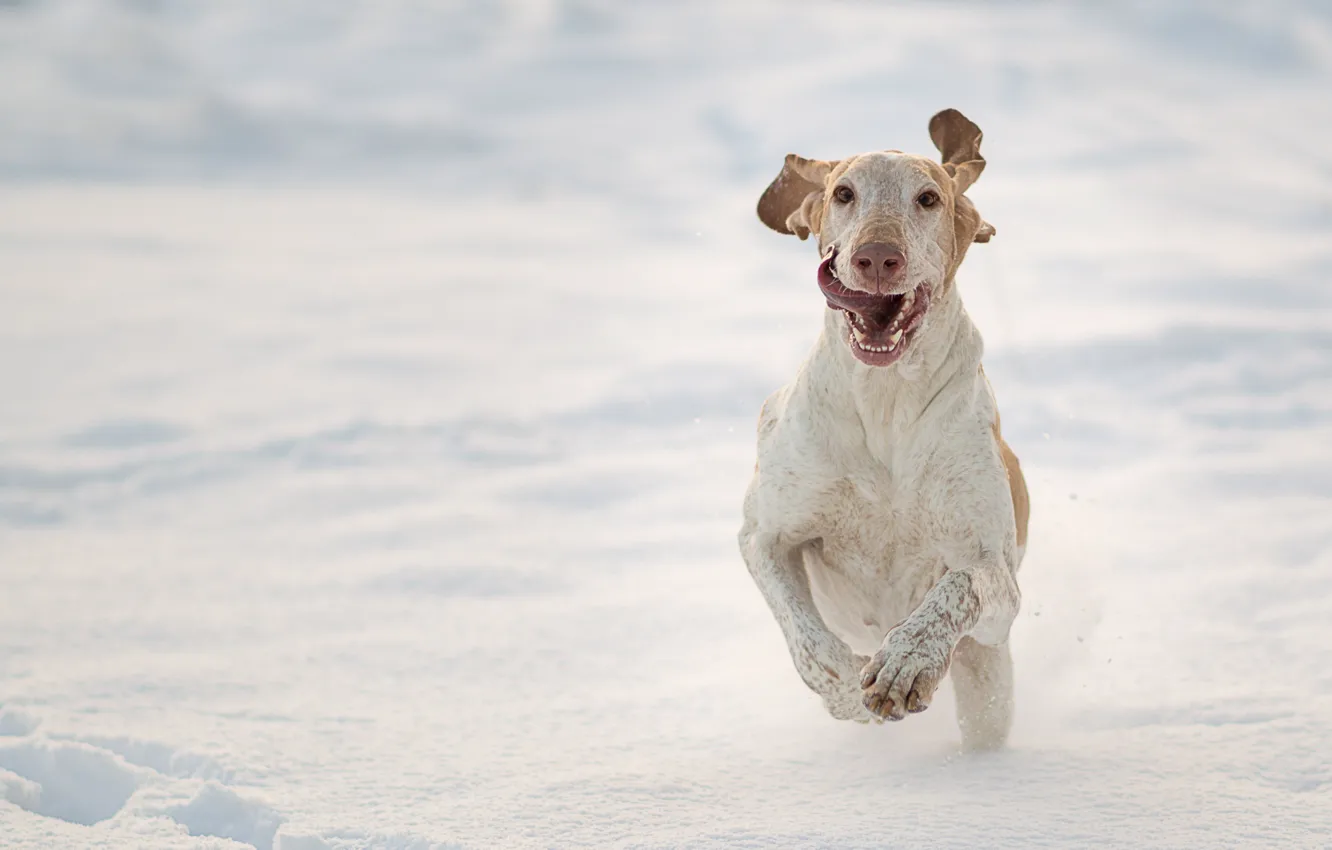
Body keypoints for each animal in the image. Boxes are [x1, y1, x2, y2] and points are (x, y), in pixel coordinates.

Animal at [740, 107, 1028, 751]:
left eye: (928, 198)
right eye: (843, 194)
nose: (876, 256)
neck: (885, 402)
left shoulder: (996, 578)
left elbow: (958, 587)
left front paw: (907, 663)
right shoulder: (764, 535)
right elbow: (808, 642)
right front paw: (847, 690)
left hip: (987, 683)